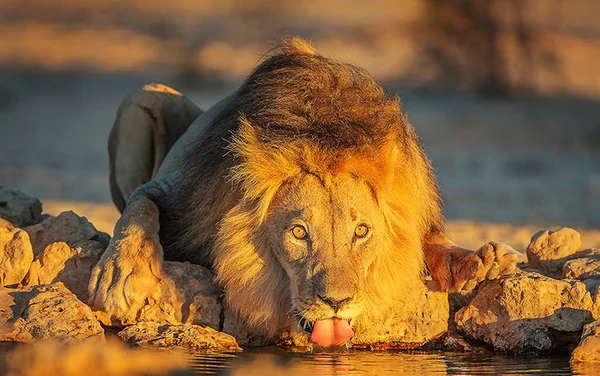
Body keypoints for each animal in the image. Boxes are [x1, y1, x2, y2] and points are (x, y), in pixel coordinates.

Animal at [89, 37, 520, 346]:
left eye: (361, 231)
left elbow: (427, 238)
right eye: (298, 232)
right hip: (146, 95)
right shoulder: (180, 195)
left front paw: (478, 264)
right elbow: (139, 210)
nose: (337, 304)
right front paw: (119, 277)